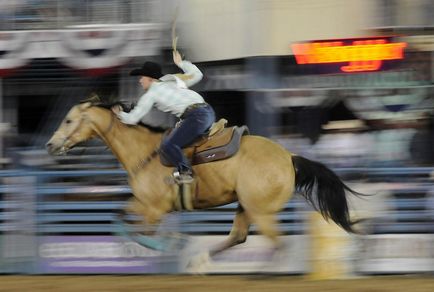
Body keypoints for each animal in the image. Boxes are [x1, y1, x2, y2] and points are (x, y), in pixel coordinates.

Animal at [45, 99, 362, 268]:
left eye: (69, 120)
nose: (50, 145)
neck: (144, 153)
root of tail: (289, 157)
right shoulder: (142, 203)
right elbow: (119, 219)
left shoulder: (155, 210)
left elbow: (140, 232)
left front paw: (171, 244)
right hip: (246, 206)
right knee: (239, 237)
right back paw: (199, 261)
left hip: (260, 210)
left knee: (277, 244)